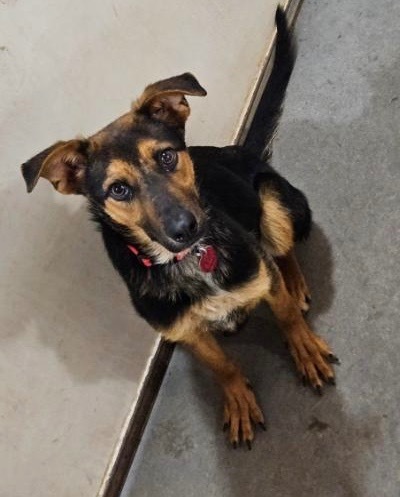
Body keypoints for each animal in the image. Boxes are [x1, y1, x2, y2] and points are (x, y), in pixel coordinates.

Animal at [20, 7, 336, 450]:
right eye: (118, 189)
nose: (187, 228)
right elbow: (221, 365)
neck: (187, 262)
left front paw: (305, 349)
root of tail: (242, 151)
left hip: (274, 201)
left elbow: (288, 316)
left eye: (167, 157)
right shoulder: (183, 331)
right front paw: (238, 397)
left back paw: (294, 280)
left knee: (282, 251)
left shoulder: (260, 275)